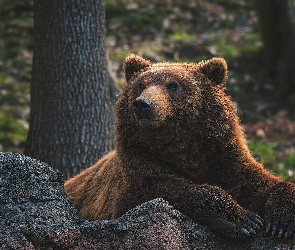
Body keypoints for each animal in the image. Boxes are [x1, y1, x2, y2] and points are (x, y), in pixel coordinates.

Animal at [66, 54, 295, 238]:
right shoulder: (135, 168)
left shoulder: (222, 156)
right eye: (141, 84)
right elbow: (167, 187)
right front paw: (244, 221)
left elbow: (258, 182)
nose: (143, 104)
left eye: (173, 85)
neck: (180, 146)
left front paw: (281, 220)